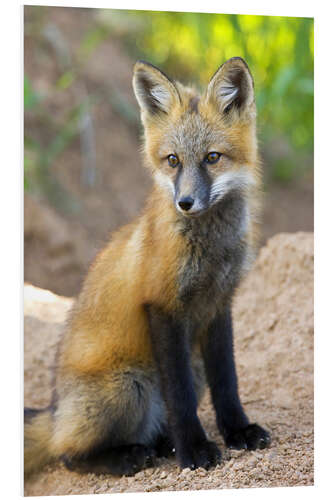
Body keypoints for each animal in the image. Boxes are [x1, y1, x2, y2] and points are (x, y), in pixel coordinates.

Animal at [25, 56, 270, 478]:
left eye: (212, 158)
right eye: (173, 160)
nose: (185, 203)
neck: (211, 252)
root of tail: (55, 412)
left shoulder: (219, 305)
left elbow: (228, 382)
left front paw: (238, 430)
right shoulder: (163, 306)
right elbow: (180, 396)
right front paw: (194, 450)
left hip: (189, 365)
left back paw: (161, 443)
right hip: (128, 385)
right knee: (67, 454)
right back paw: (128, 454)